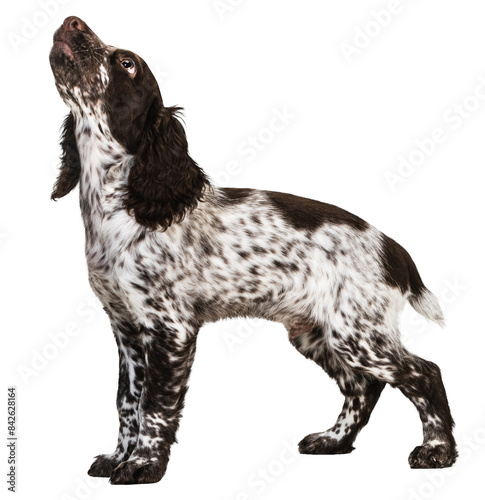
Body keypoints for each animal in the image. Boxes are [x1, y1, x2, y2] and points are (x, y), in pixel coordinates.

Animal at [47, 16, 456, 484]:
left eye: (127, 64)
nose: (72, 22)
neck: (121, 205)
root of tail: (394, 249)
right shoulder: (127, 328)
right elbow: (126, 403)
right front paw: (119, 456)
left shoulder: (170, 330)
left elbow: (153, 406)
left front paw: (143, 464)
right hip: (318, 333)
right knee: (364, 386)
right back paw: (333, 440)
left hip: (358, 333)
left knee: (424, 373)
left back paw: (437, 450)